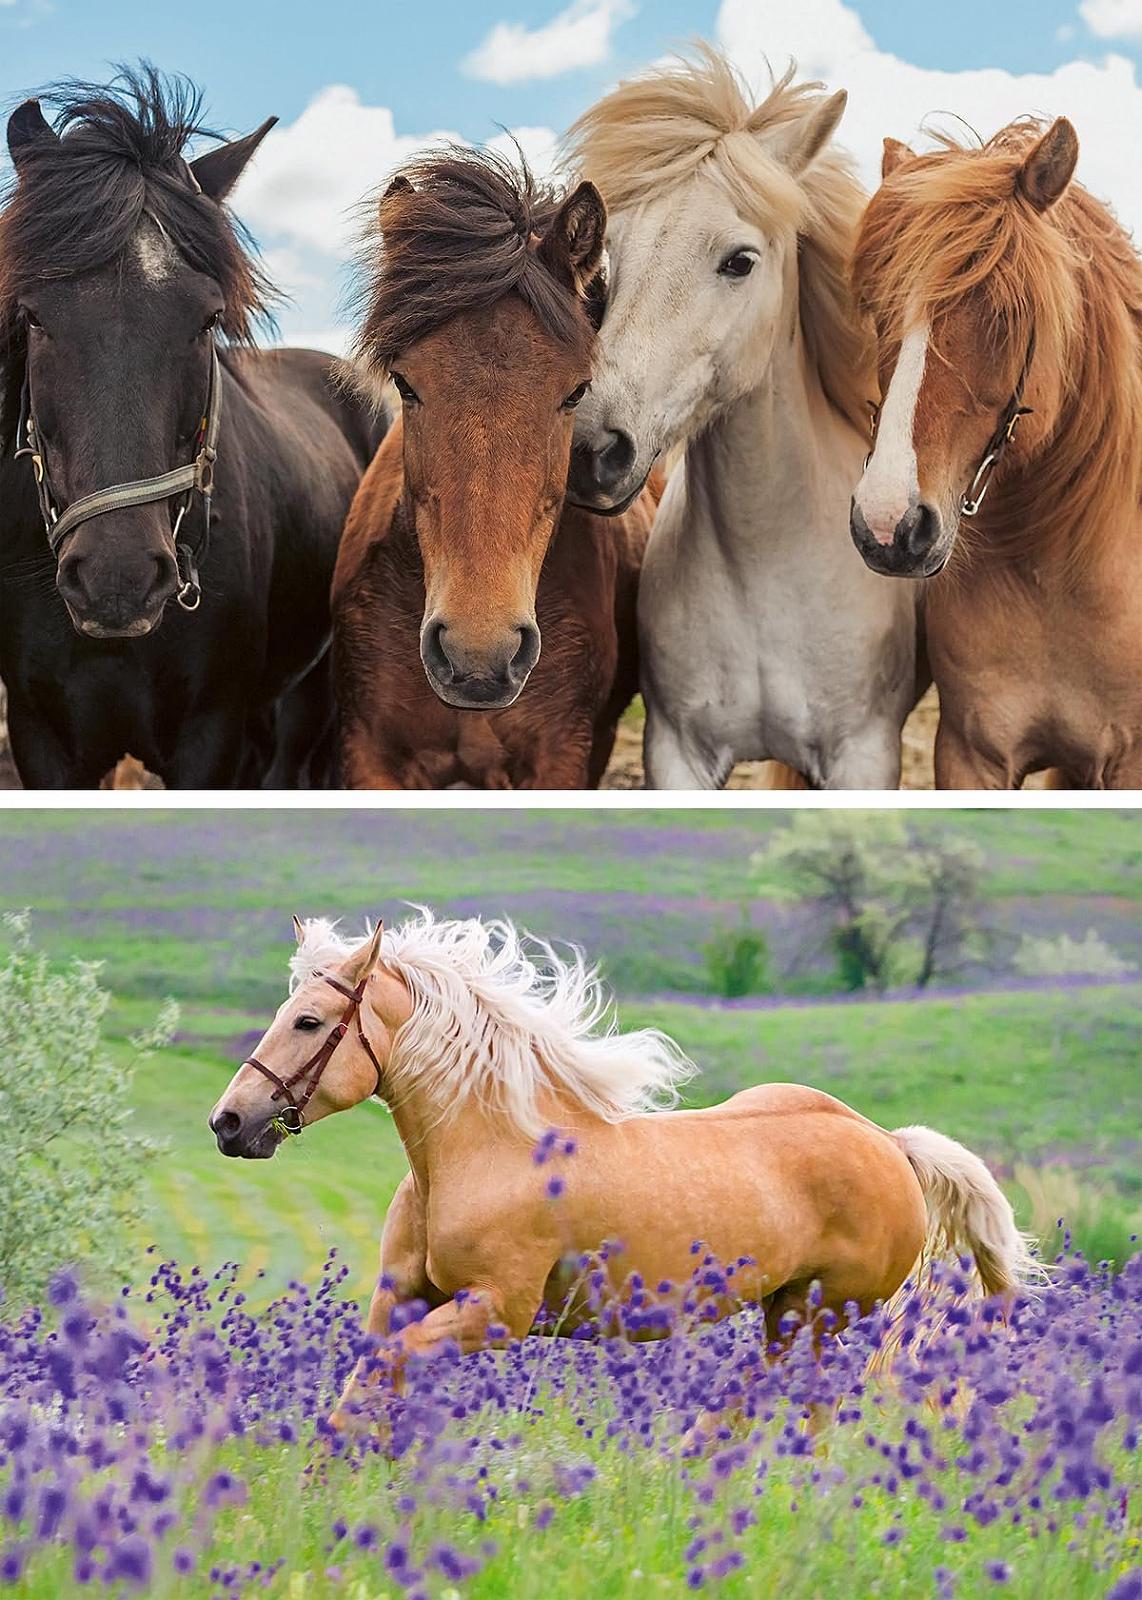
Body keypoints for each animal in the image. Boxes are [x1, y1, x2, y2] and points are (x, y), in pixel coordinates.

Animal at [208, 912, 1040, 1434]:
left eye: (309, 1022)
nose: (230, 1122)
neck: (484, 1150)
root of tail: (887, 1142)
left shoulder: (496, 1314)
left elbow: (387, 1378)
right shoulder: (404, 1299)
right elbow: (363, 1389)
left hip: (826, 1314)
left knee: (796, 1402)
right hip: (786, 1309)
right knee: (775, 1398)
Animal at [563, 50, 920, 790]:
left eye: (740, 261)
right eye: (610, 262)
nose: (591, 451)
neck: (765, 570)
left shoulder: (864, 756)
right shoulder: (675, 752)